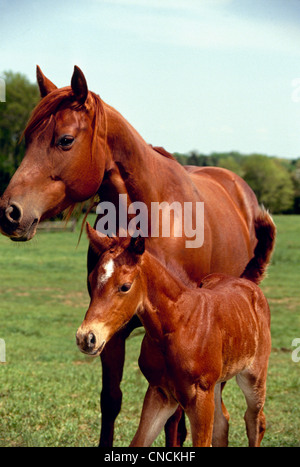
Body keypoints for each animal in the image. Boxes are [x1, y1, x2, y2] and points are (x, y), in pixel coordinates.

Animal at [76, 225, 270, 448]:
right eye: (91, 280)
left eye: (125, 286)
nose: (86, 338)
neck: (176, 325)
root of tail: (247, 283)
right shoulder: (160, 393)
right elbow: (139, 442)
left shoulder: (199, 396)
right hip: (216, 385)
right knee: (223, 423)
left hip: (253, 377)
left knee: (255, 420)